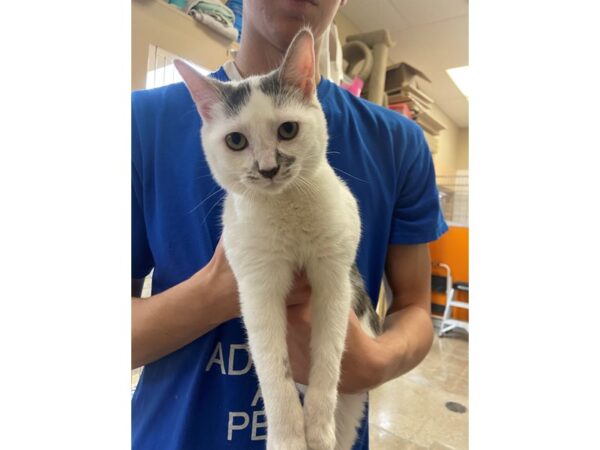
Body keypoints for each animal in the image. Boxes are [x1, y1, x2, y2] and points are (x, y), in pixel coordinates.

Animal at [175, 28, 380, 450]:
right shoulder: (256, 286)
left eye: (288, 130)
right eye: (236, 141)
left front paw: (316, 429)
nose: (268, 169)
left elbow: (327, 358)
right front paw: (288, 436)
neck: (287, 210)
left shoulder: (334, 279)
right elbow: (274, 370)